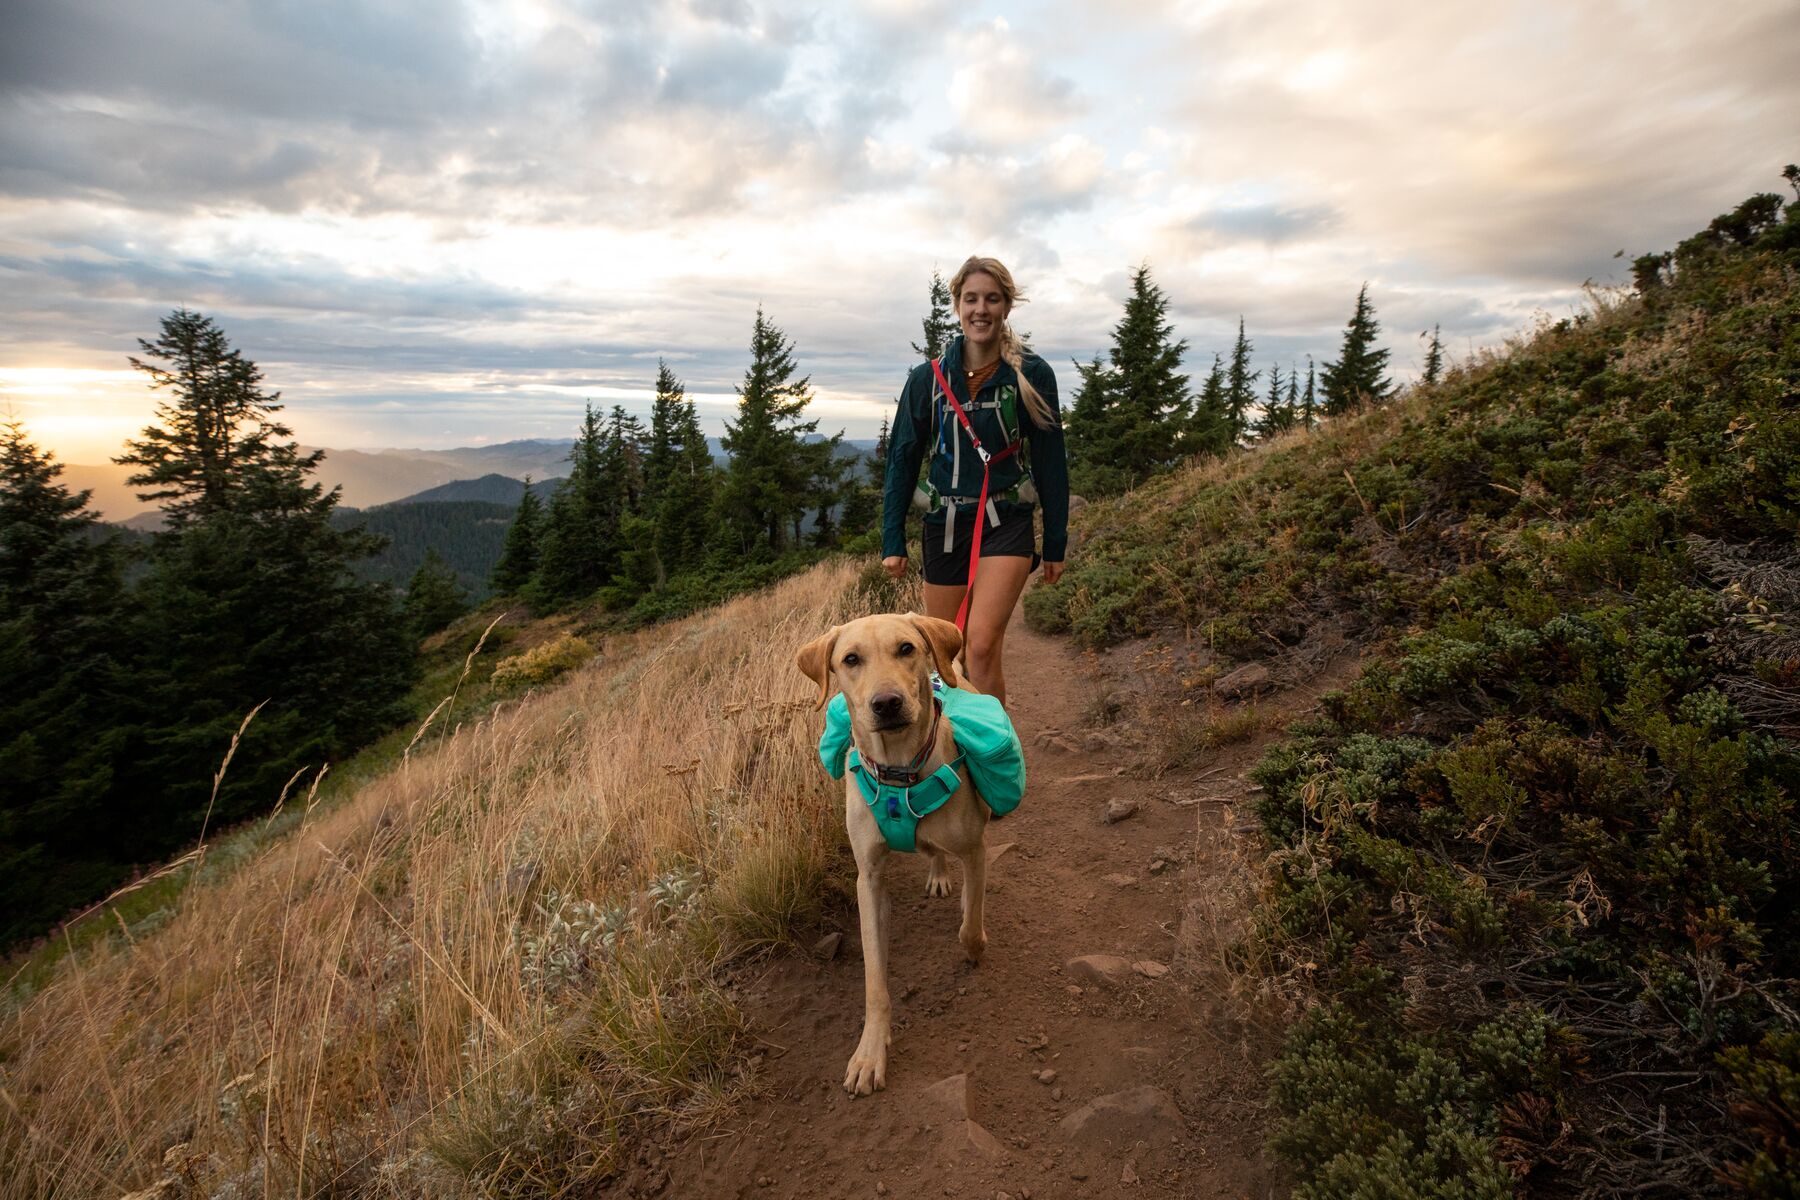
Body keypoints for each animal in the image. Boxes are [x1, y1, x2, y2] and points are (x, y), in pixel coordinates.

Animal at [795, 615, 993, 1093]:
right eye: (851, 659)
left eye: (906, 648)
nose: (886, 703)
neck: (899, 772)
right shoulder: (867, 878)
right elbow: (874, 982)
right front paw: (870, 1053)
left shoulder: (974, 849)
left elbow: (971, 925)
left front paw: (973, 942)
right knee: (930, 850)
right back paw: (937, 871)